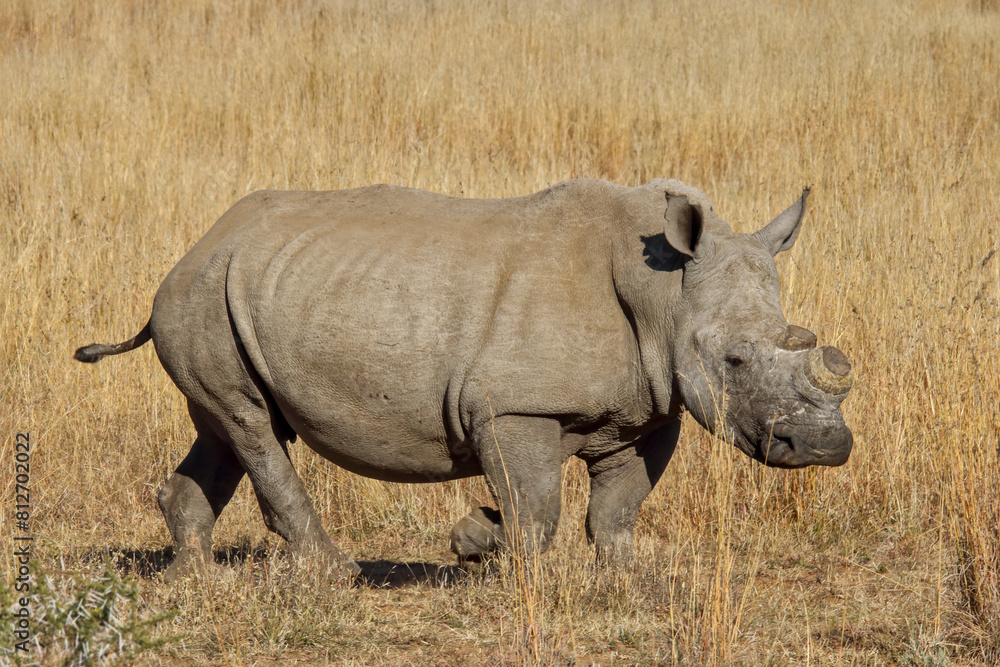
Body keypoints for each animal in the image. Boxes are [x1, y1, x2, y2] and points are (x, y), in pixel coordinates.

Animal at [75, 178, 853, 580]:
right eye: (736, 361)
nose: (825, 446)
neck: (665, 292)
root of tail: (193, 246)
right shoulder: (517, 406)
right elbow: (536, 509)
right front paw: (478, 538)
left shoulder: (652, 404)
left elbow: (619, 505)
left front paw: (625, 578)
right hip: (203, 295)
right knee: (252, 426)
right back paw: (334, 575)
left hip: (229, 291)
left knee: (226, 427)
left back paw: (194, 579)